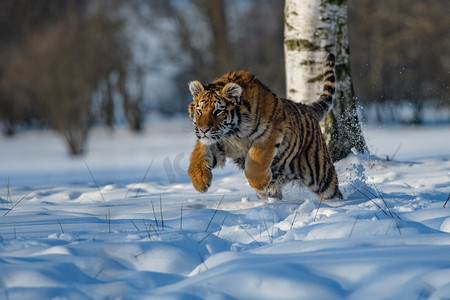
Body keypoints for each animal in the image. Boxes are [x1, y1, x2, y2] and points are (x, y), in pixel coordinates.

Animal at [188, 54, 342, 200]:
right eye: (199, 111)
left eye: (218, 111)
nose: (203, 129)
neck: (233, 134)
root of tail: (307, 108)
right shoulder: (217, 141)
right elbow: (197, 157)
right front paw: (200, 181)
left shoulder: (270, 132)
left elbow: (256, 158)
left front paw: (260, 183)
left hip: (320, 173)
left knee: (333, 191)